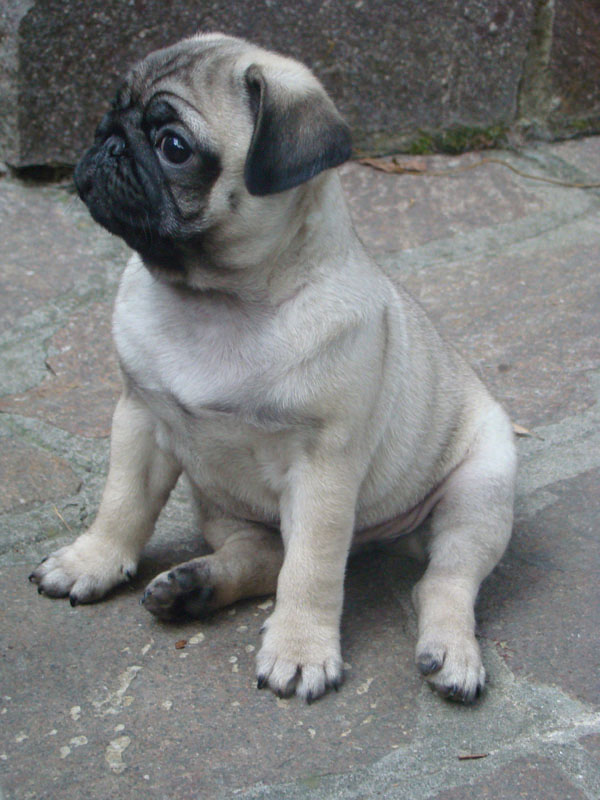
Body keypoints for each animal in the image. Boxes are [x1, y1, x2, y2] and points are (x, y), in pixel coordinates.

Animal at [29, 34, 516, 704]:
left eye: (174, 147)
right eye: (111, 108)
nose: (108, 141)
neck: (216, 300)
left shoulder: (322, 471)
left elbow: (310, 570)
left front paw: (301, 650)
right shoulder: (139, 420)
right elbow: (122, 504)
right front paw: (92, 562)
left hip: (482, 491)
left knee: (442, 581)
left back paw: (453, 651)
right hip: (219, 504)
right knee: (261, 556)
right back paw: (193, 587)